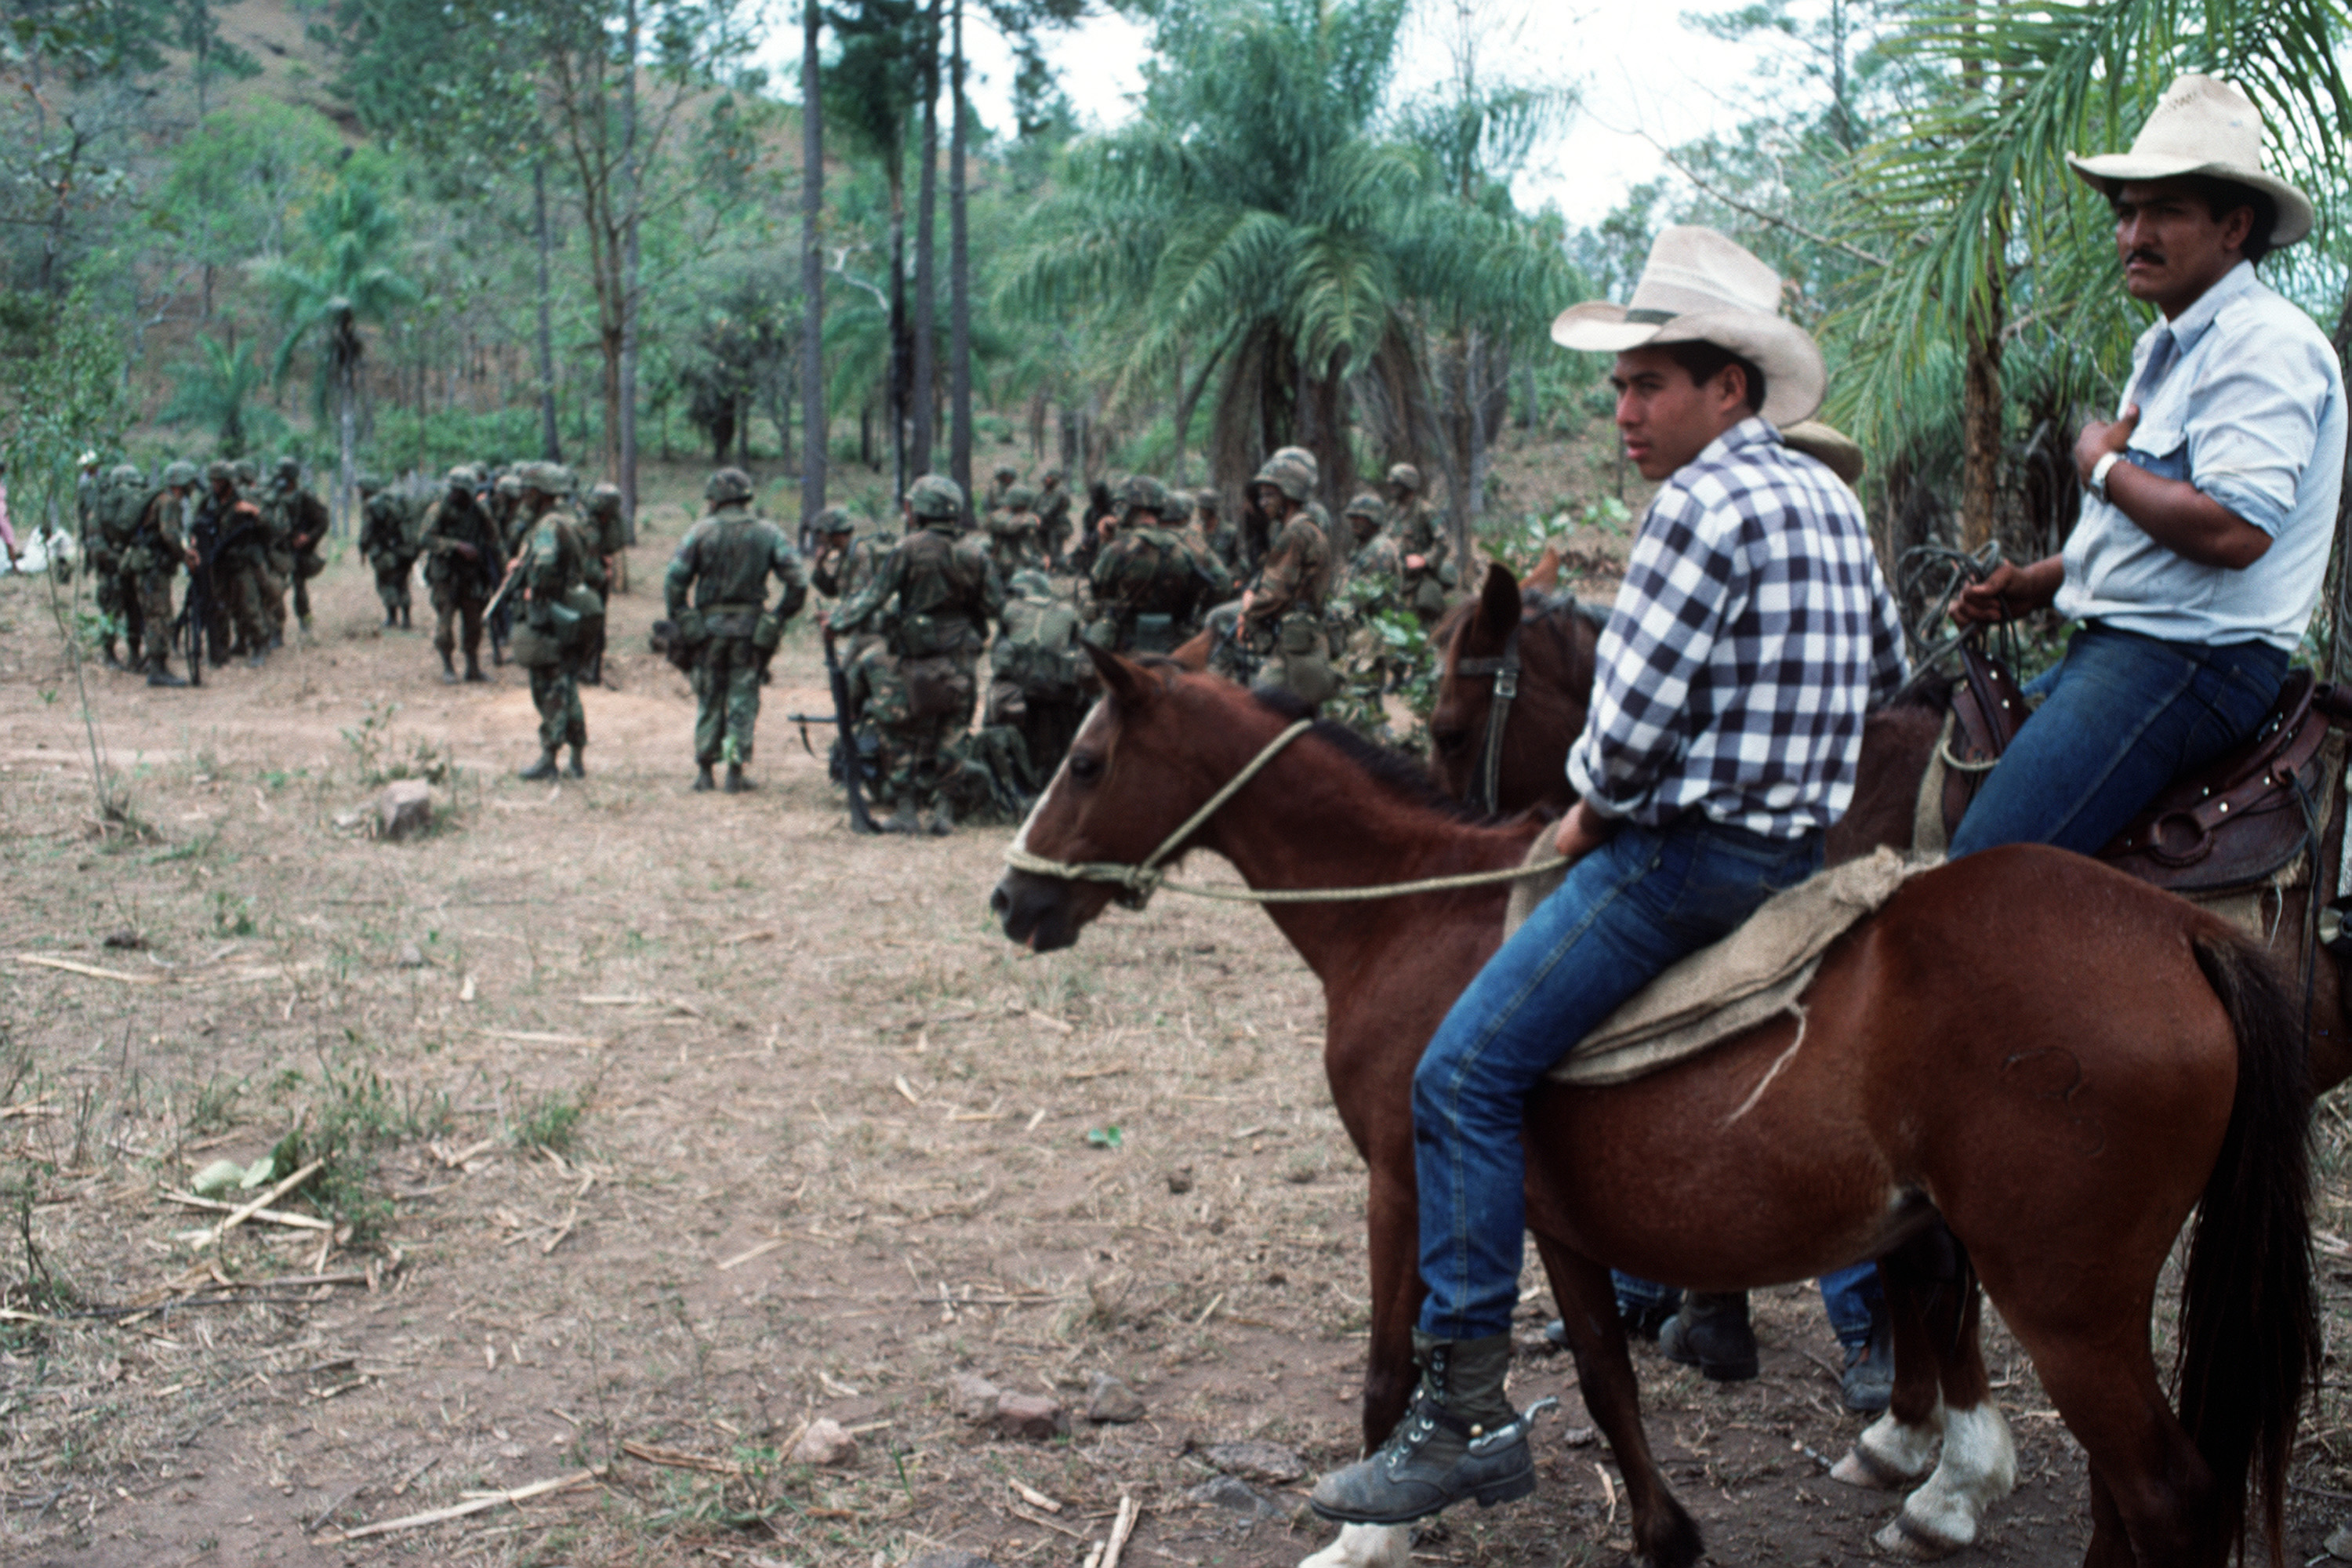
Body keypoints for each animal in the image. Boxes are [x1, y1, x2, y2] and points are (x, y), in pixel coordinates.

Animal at [988, 653, 2314, 1568]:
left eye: (1086, 763)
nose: (1011, 901)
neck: (1407, 917)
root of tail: (2179, 932)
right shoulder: (1559, 1222)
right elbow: (1601, 1375)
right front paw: (1664, 1533)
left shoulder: (1406, 1181)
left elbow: (1389, 1367)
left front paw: (1370, 1526)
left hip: (2067, 1301)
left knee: (2165, 1495)